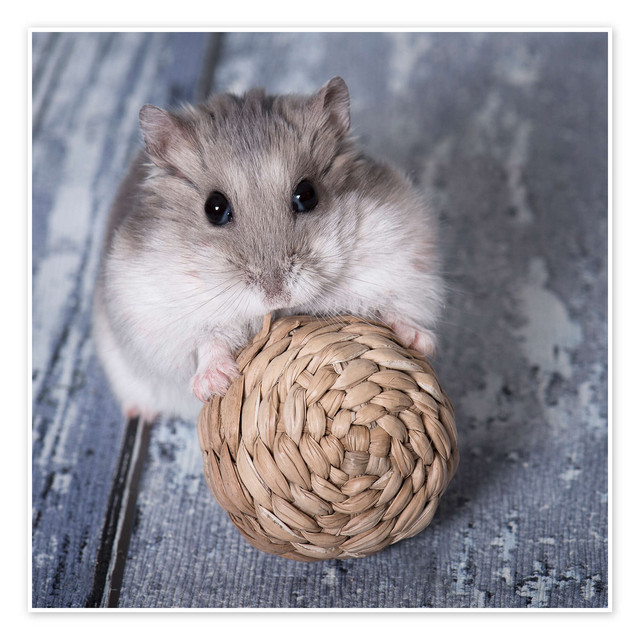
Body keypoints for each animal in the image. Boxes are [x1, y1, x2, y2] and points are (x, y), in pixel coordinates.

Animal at [92, 77, 445, 422]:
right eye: (214, 208)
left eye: (307, 194)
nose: (277, 295)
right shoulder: (158, 315)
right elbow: (207, 341)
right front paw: (217, 383)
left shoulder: (402, 258)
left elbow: (392, 308)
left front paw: (421, 342)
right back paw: (139, 413)